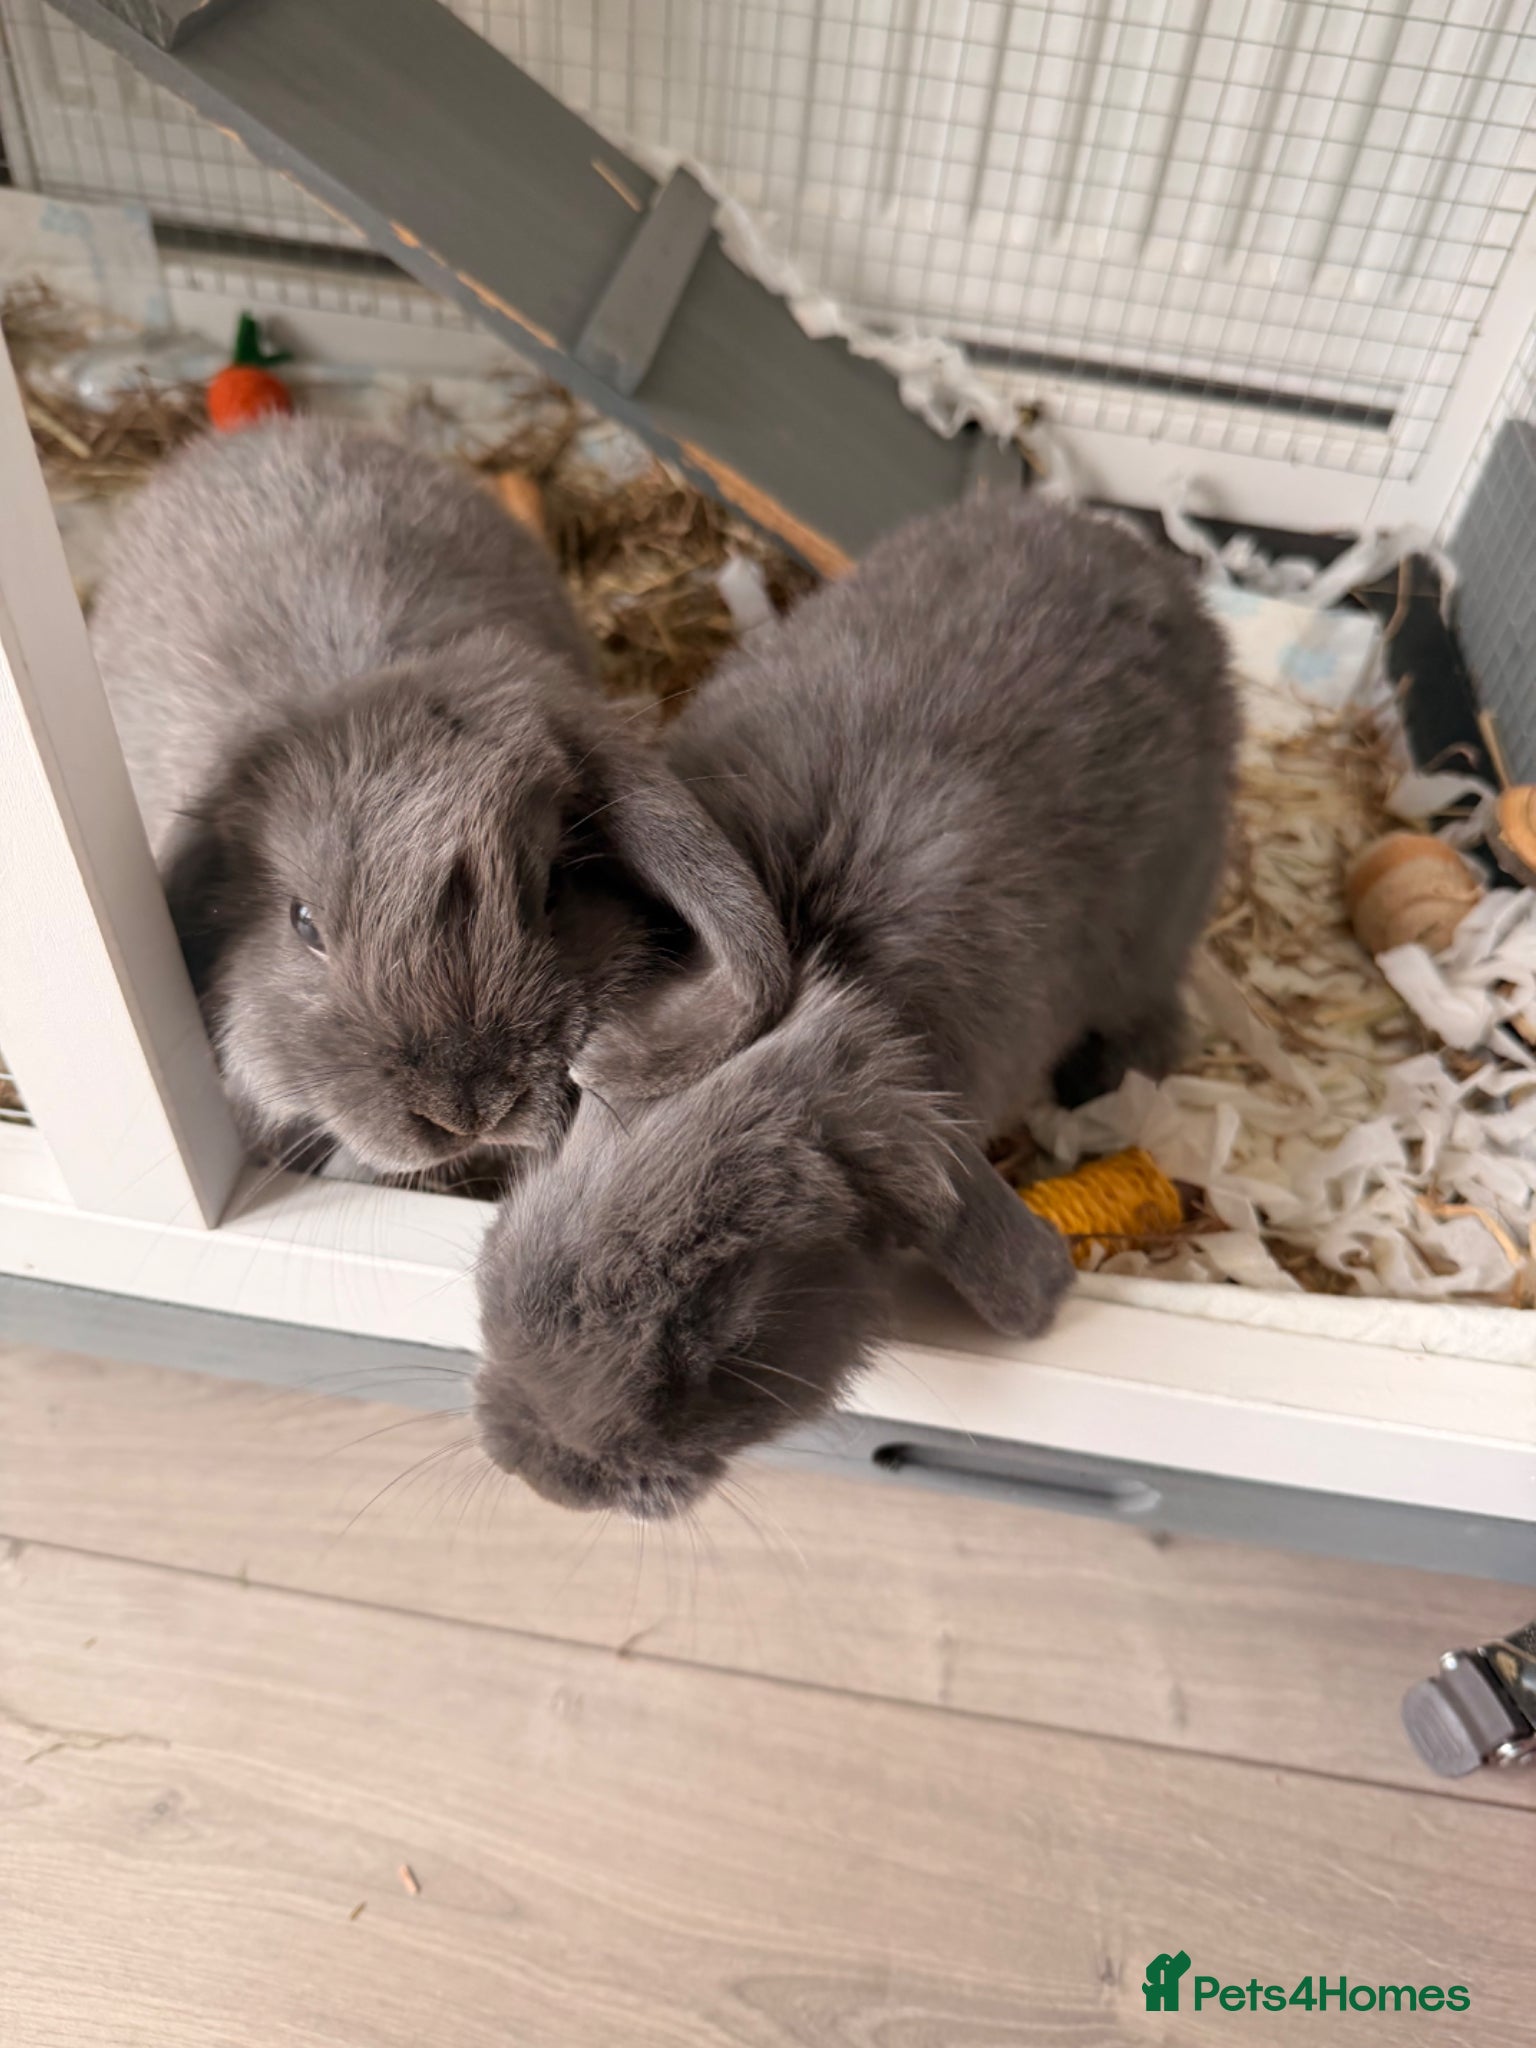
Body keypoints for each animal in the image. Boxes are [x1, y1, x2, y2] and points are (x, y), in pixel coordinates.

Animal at [474, 488, 1239, 1516]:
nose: (543, 1471)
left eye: (725, 1315)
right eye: (533, 1219)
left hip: (1165, 924)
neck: (828, 952)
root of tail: (1126, 547)